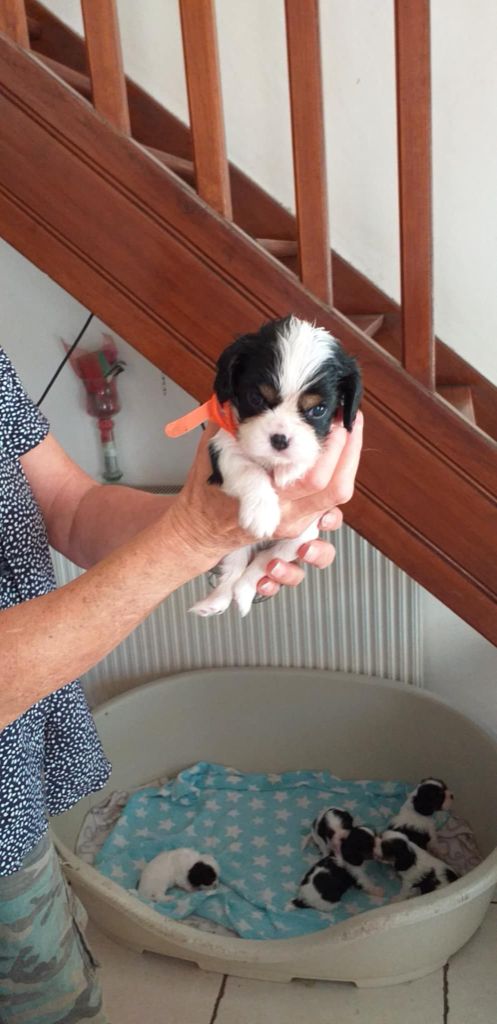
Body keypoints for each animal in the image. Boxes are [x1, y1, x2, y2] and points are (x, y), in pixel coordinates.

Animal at [190, 315, 362, 617]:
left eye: (317, 410)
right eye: (256, 399)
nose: (280, 440)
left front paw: (289, 469)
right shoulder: (222, 445)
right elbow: (248, 469)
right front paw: (262, 511)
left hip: (300, 538)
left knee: (262, 564)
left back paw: (243, 592)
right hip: (231, 548)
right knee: (233, 571)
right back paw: (214, 603)